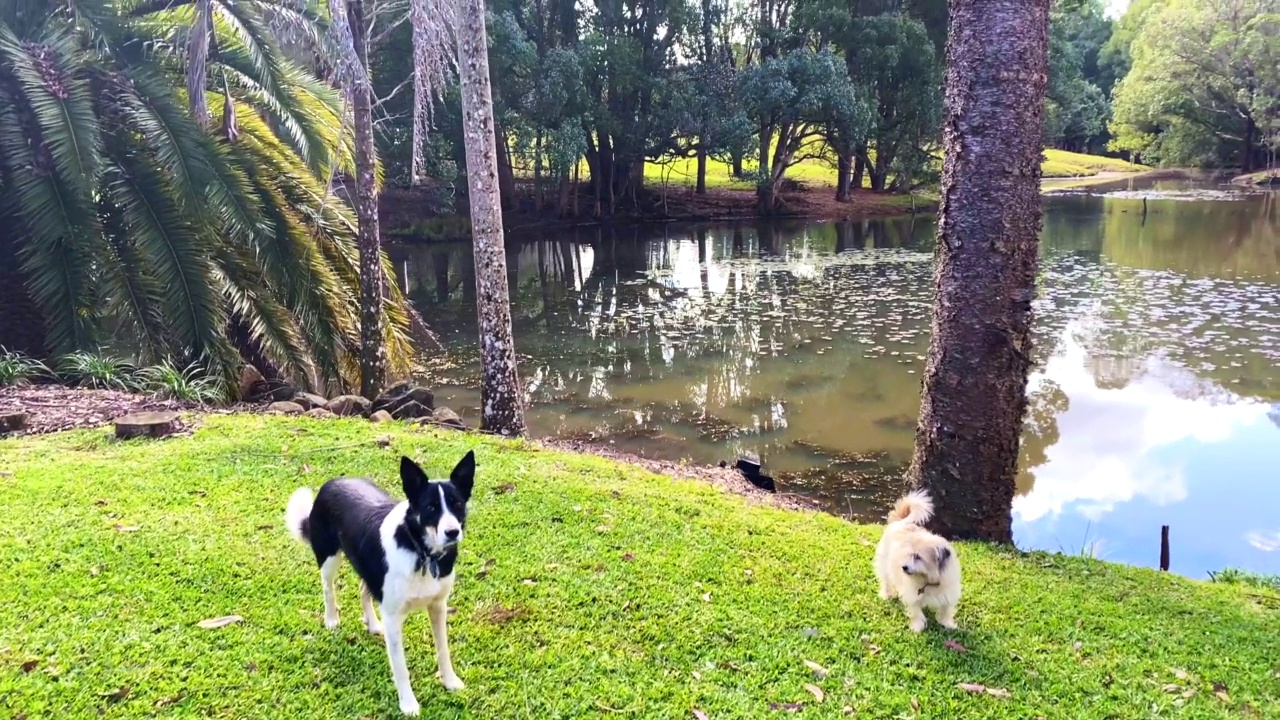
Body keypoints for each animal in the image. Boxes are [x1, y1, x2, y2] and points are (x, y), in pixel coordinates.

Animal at [285, 448, 476, 712]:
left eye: (457, 504)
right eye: (430, 507)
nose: (452, 532)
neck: (420, 551)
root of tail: (332, 482)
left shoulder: (438, 606)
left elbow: (443, 649)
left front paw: (449, 682)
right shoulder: (394, 617)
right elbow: (401, 668)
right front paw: (408, 704)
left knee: (364, 588)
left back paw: (373, 624)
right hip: (329, 558)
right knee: (328, 587)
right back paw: (331, 619)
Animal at [875, 486, 962, 627]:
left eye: (918, 557)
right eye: (909, 555)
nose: (903, 567)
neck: (928, 580)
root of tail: (900, 521)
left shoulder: (948, 593)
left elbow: (946, 609)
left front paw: (947, 624)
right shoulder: (912, 594)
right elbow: (916, 611)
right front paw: (917, 626)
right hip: (884, 565)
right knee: (886, 581)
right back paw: (887, 595)